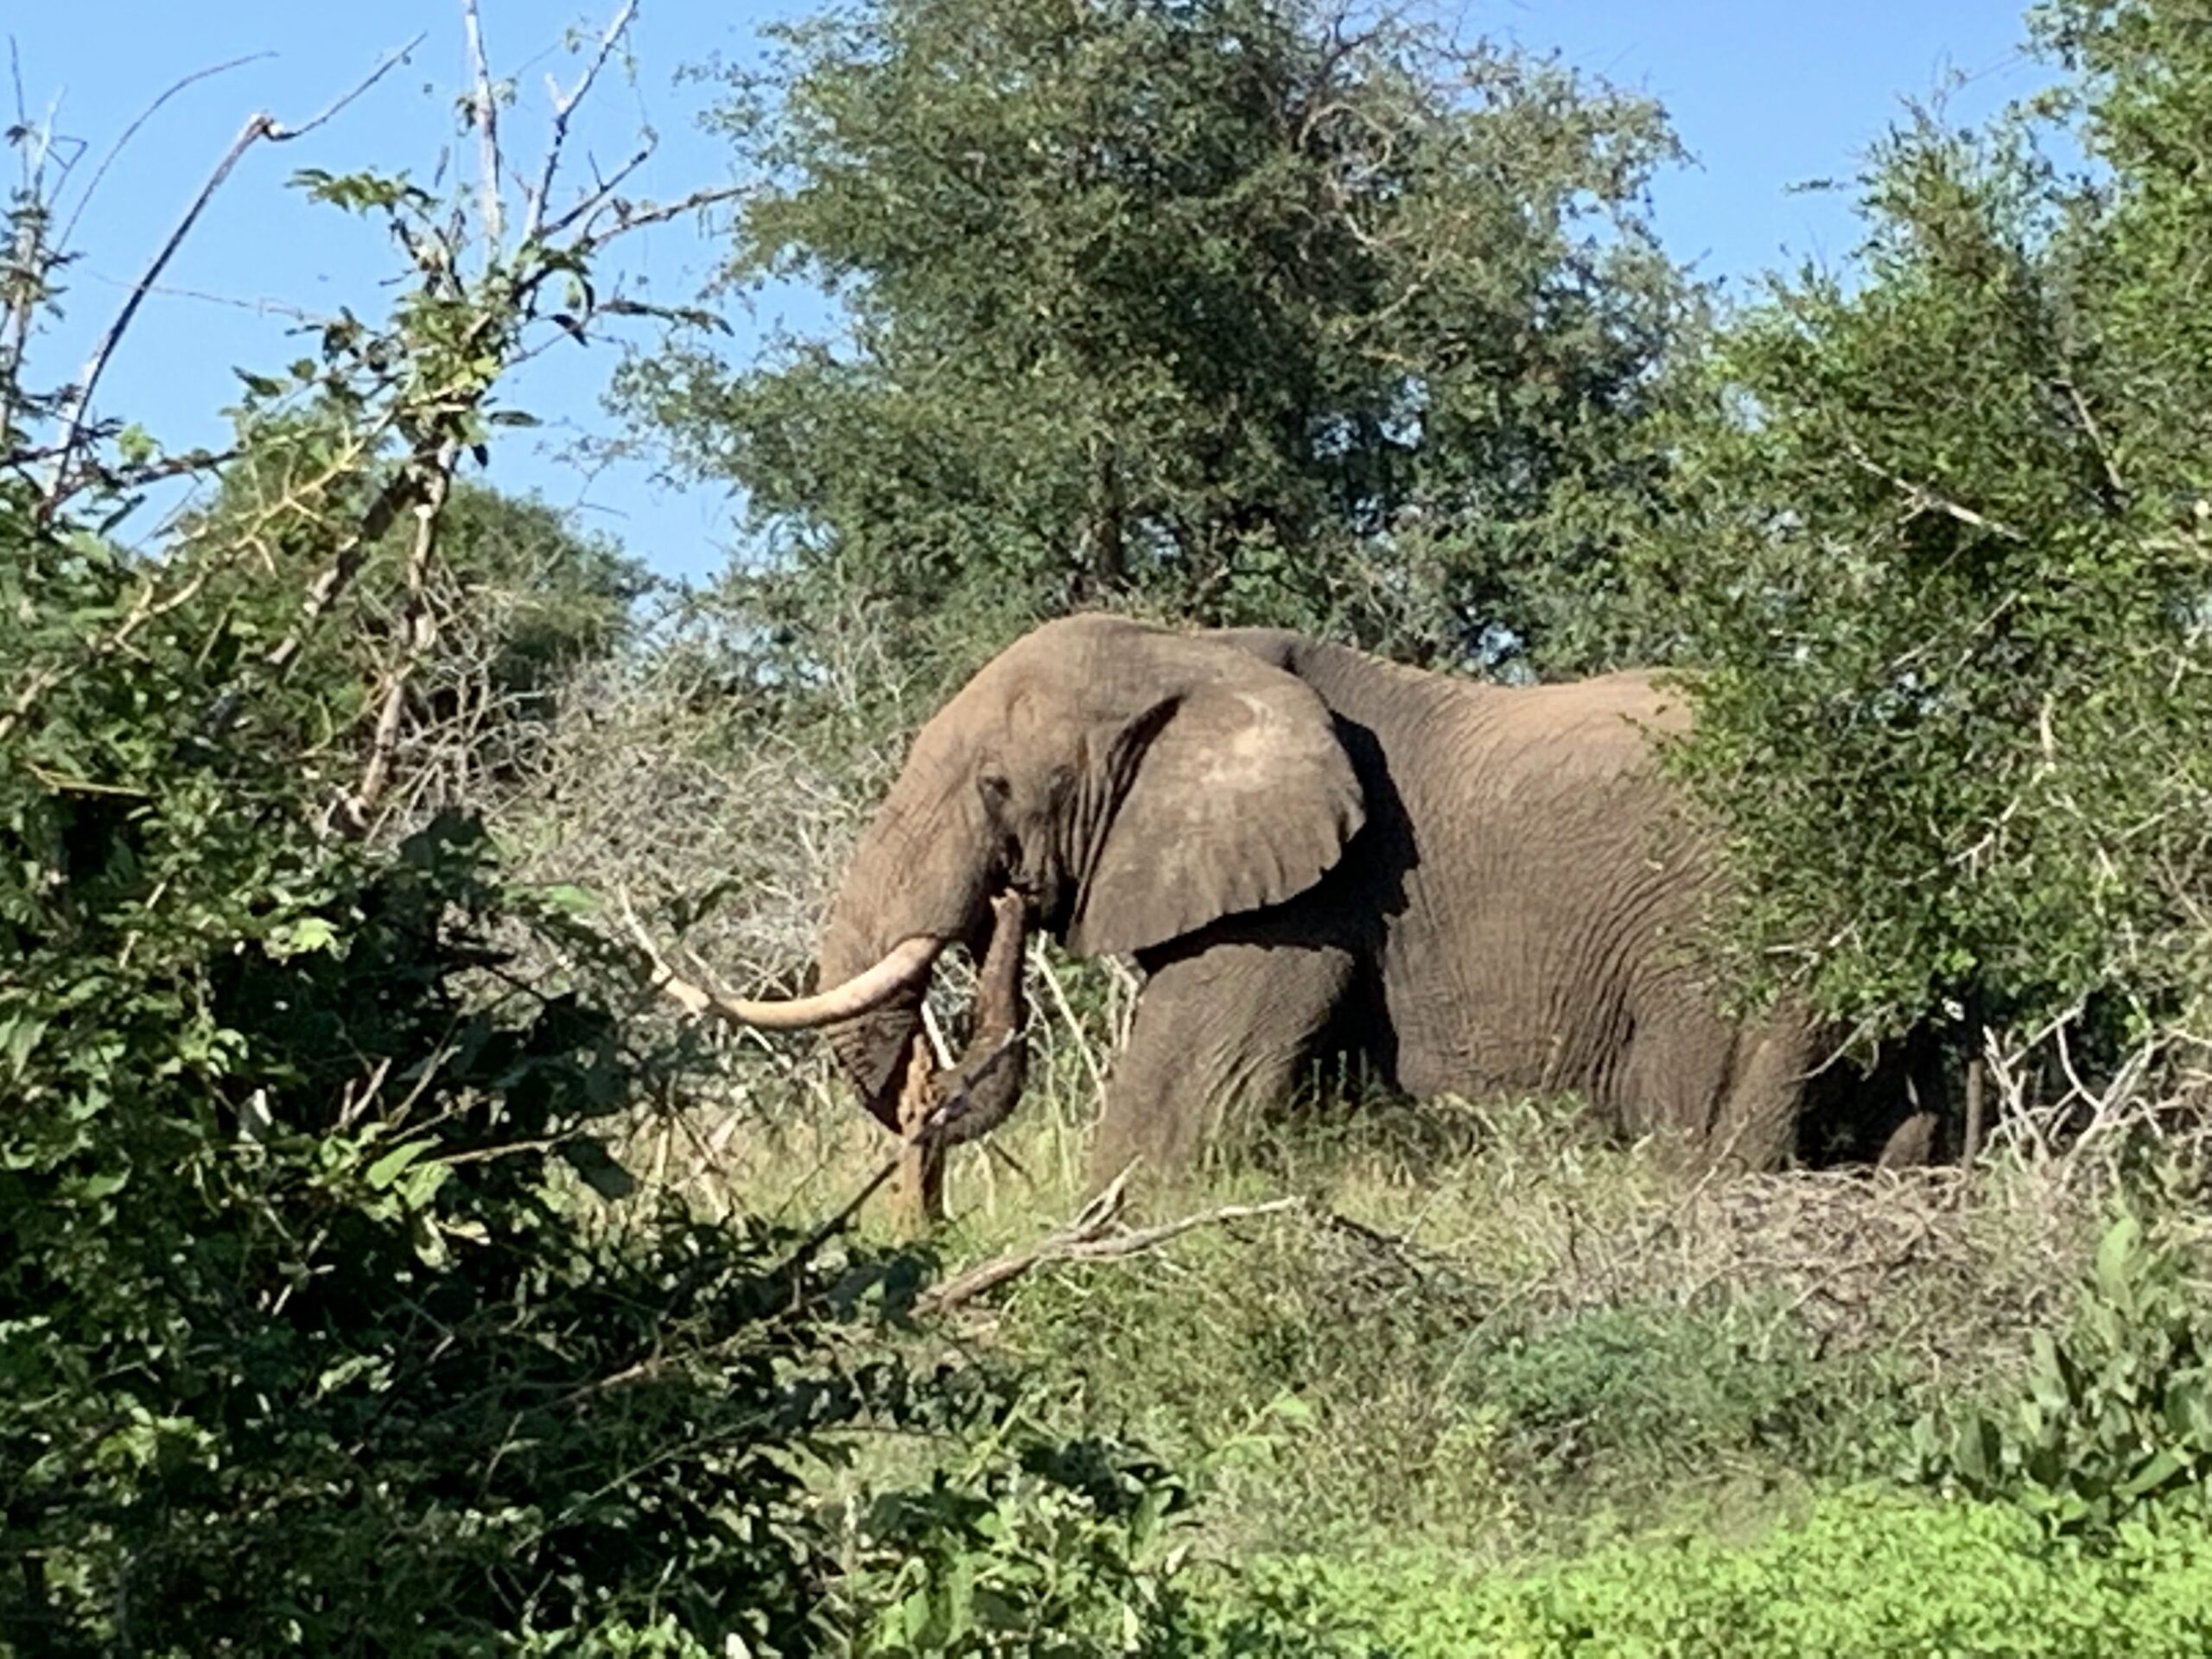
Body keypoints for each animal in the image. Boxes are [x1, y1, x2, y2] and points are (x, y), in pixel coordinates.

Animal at [734, 619, 1929, 1185]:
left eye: (996, 788)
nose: (1006, 913)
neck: (1190, 650)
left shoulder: (1306, 900)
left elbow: (1189, 1095)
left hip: (1730, 940)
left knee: (1704, 1124)